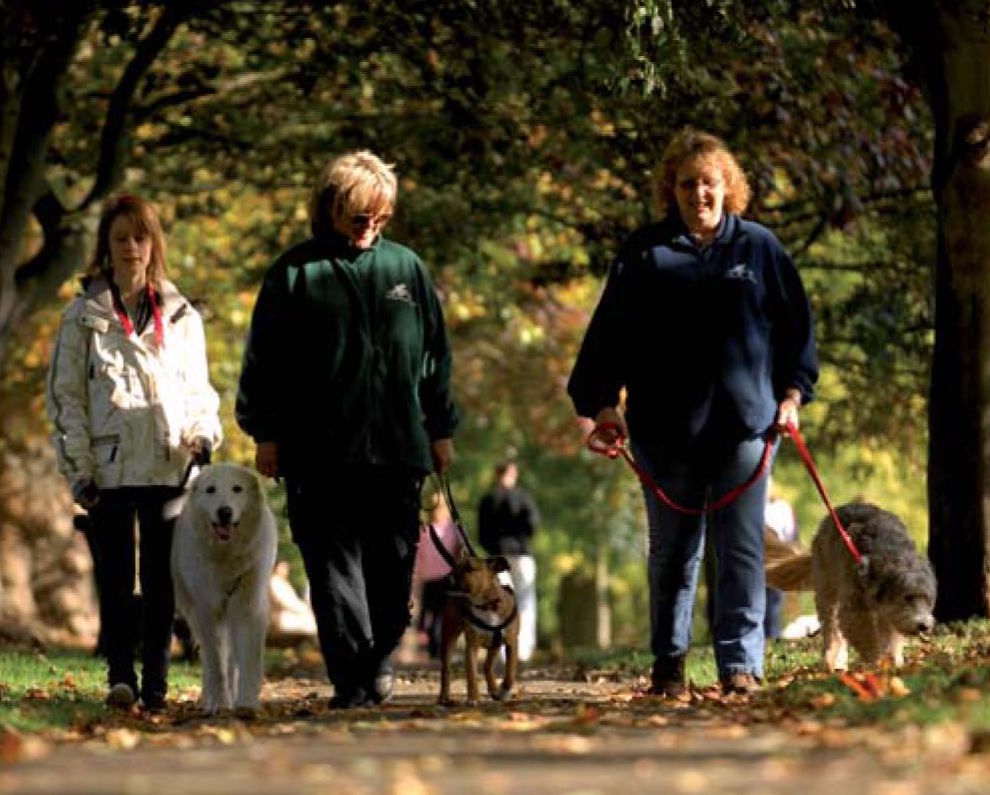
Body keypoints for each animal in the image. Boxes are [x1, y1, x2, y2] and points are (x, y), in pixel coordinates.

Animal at [171, 464, 278, 720]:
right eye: (211, 490)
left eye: (237, 489)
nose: (225, 512)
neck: (226, 555)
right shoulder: (207, 611)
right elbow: (216, 663)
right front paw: (219, 704)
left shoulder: (247, 607)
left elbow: (246, 661)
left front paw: (246, 704)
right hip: (195, 614)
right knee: (211, 660)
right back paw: (208, 699)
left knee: (231, 660)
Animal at [440, 552, 524, 704]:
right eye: (455, 566)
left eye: (469, 568)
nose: (446, 578)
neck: (487, 605)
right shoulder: (471, 647)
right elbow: (472, 675)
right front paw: (473, 698)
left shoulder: (512, 643)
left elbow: (510, 672)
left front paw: (504, 691)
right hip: (448, 638)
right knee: (446, 669)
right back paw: (443, 697)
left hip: (495, 645)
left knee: (487, 666)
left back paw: (495, 690)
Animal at [768, 504, 936, 672]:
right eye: (906, 597)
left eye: (928, 599)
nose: (924, 626)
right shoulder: (855, 608)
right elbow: (865, 635)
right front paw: (875, 662)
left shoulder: (889, 614)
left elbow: (891, 638)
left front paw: (894, 662)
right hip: (828, 591)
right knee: (833, 632)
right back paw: (834, 663)